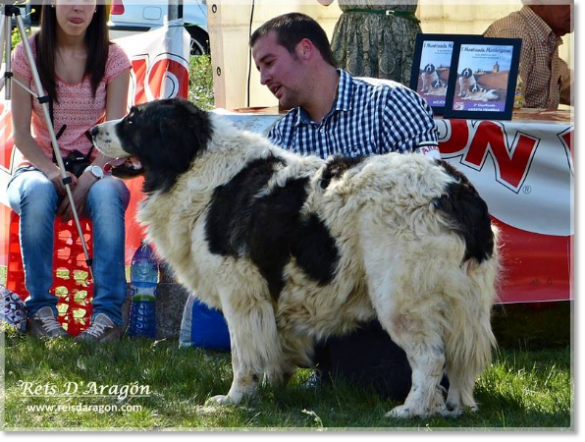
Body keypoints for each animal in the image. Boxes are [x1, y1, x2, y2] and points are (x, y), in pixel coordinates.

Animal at [90, 99, 498, 418]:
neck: (194, 165)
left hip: (400, 298)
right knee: (458, 359)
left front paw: (235, 398)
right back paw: (453, 408)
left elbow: (243, 354)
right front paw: (273, 389)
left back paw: (412, 410)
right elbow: (273, 348)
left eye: (132, 121)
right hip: (461, 303)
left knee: (430, 358)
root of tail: (457, 191)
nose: (93, 130)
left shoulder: (241, 294)